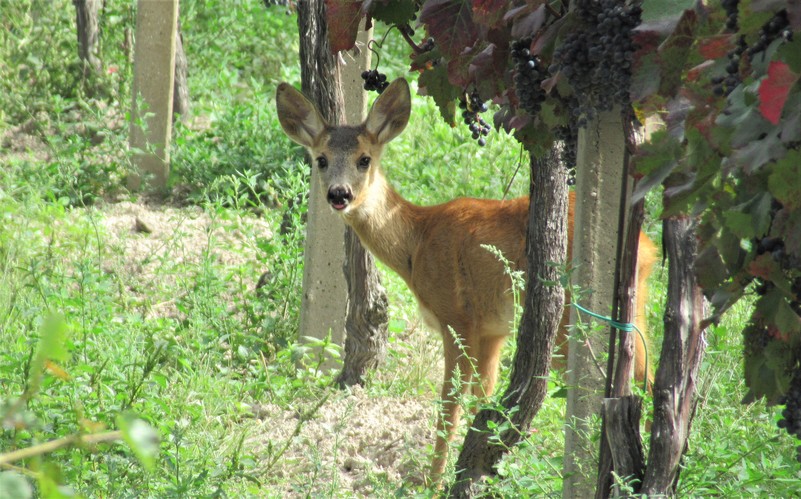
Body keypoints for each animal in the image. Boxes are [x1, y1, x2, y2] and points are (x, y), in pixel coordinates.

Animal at [276, 77, 656, 480]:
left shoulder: (457, 319)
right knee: (645, 378)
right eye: (321, 159)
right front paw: (486, 472)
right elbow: (483, 403)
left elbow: (450, 405)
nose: (339, 194)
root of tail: (648, 250)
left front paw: (433, 481)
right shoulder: (492, 331)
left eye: (364, 159)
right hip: (634, 314)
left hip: (572, 321)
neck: (417, 242)